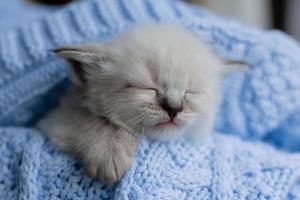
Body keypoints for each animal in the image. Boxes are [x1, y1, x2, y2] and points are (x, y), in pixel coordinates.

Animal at [37, 25, 234, 186]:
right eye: (146, 87)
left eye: (191, 92)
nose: (174, 108)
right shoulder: (58, 118)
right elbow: (96, 119)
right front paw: (108, 151)